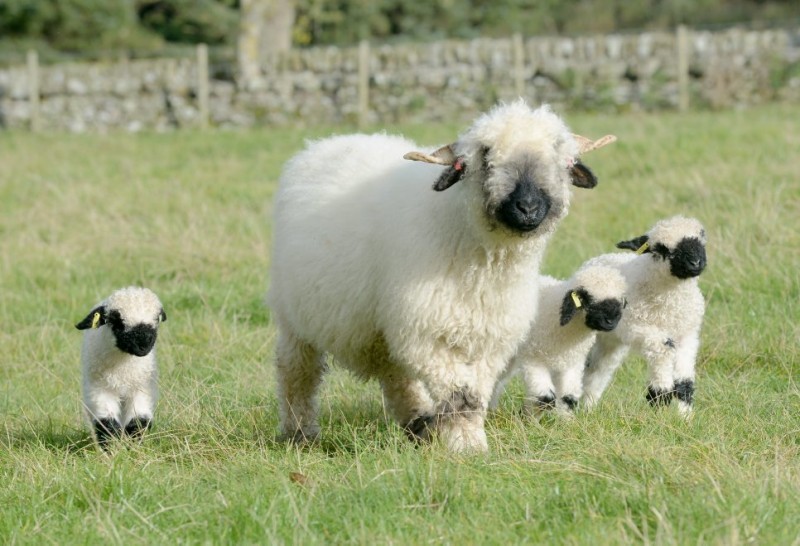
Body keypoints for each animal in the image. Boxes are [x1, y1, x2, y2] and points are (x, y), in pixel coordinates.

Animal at [76, 284, 167, 446]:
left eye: (157, 319)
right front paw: (112, 449)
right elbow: (107, 424)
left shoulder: (141, 389)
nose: (143, 345)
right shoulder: (100, 390)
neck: (123, 369)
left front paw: (133, 447)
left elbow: (138, 422)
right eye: (117, 321)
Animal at [490, 262, 628, 414]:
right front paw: (529, 418)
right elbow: (545, 398)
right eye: (586, 298)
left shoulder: (573, 362)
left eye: (620, 301)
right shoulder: (533, 357)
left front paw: (565, 419)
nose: (611, 321)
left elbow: (569, 398)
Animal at [580, 215, 708, 414]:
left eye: (700, 239)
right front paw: (660, 397)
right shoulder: (637, 327)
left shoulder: (688, 334)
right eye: (662, 249)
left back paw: (587, 407)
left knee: (599, 370)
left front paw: (685, 416)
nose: (694, 263)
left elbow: (685, 381)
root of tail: (599, 259)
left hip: (612, 342)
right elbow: (663, 349)